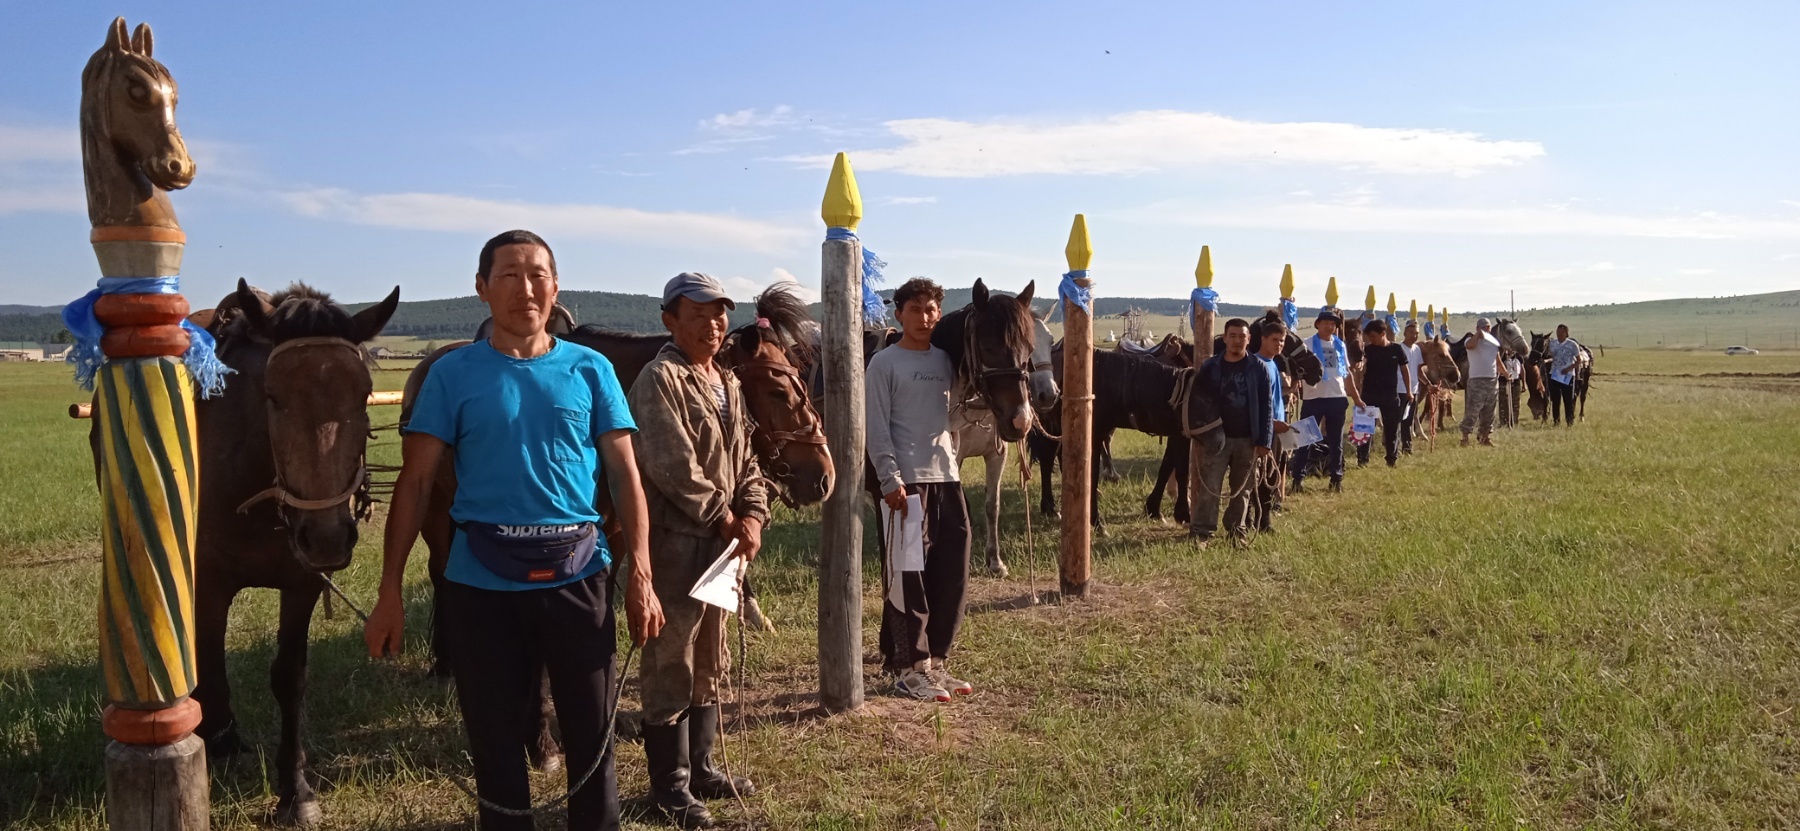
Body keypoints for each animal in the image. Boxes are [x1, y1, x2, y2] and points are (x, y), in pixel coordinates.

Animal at [169, 278, 397, 823]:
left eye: (363, 395)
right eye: (272, 395)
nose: (328, 536)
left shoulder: (302, 582)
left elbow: (289, 676)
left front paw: (295, 790)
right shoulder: (210, 583)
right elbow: (210, 662)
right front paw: (215, 743)